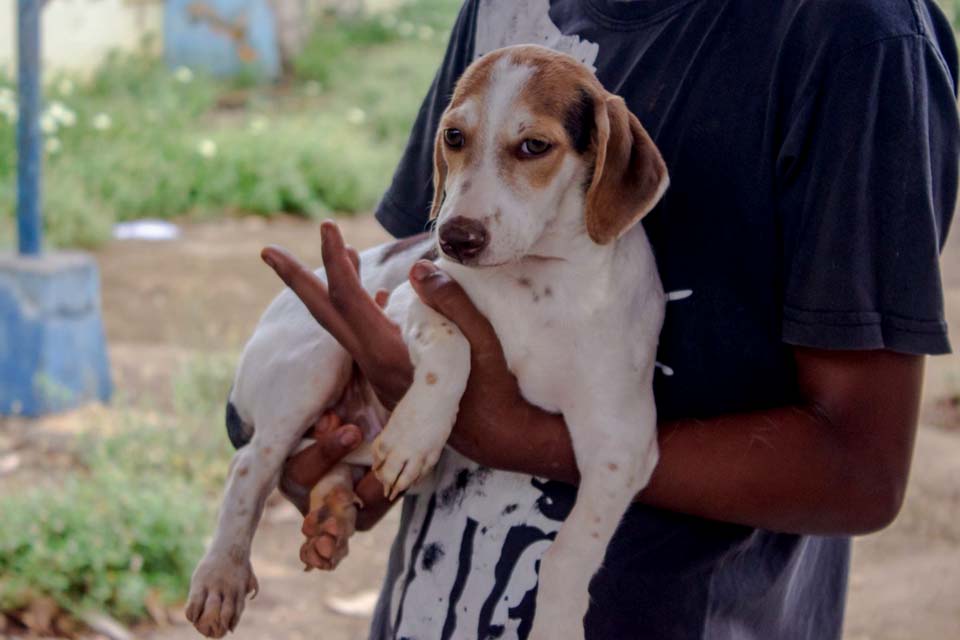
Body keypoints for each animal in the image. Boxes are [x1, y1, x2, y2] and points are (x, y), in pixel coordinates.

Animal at [188, 45, 668, 640]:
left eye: (535, 146)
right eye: (454, 137)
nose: (454, 238)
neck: (538, 282)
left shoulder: (622, 441)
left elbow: (572, 549)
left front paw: (556, 620)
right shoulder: (406, 300)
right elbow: (451, 344)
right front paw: (416, 433)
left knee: (323, 466)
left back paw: (333, 511)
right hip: (315, 358)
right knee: (251, 467)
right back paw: (221, 574)